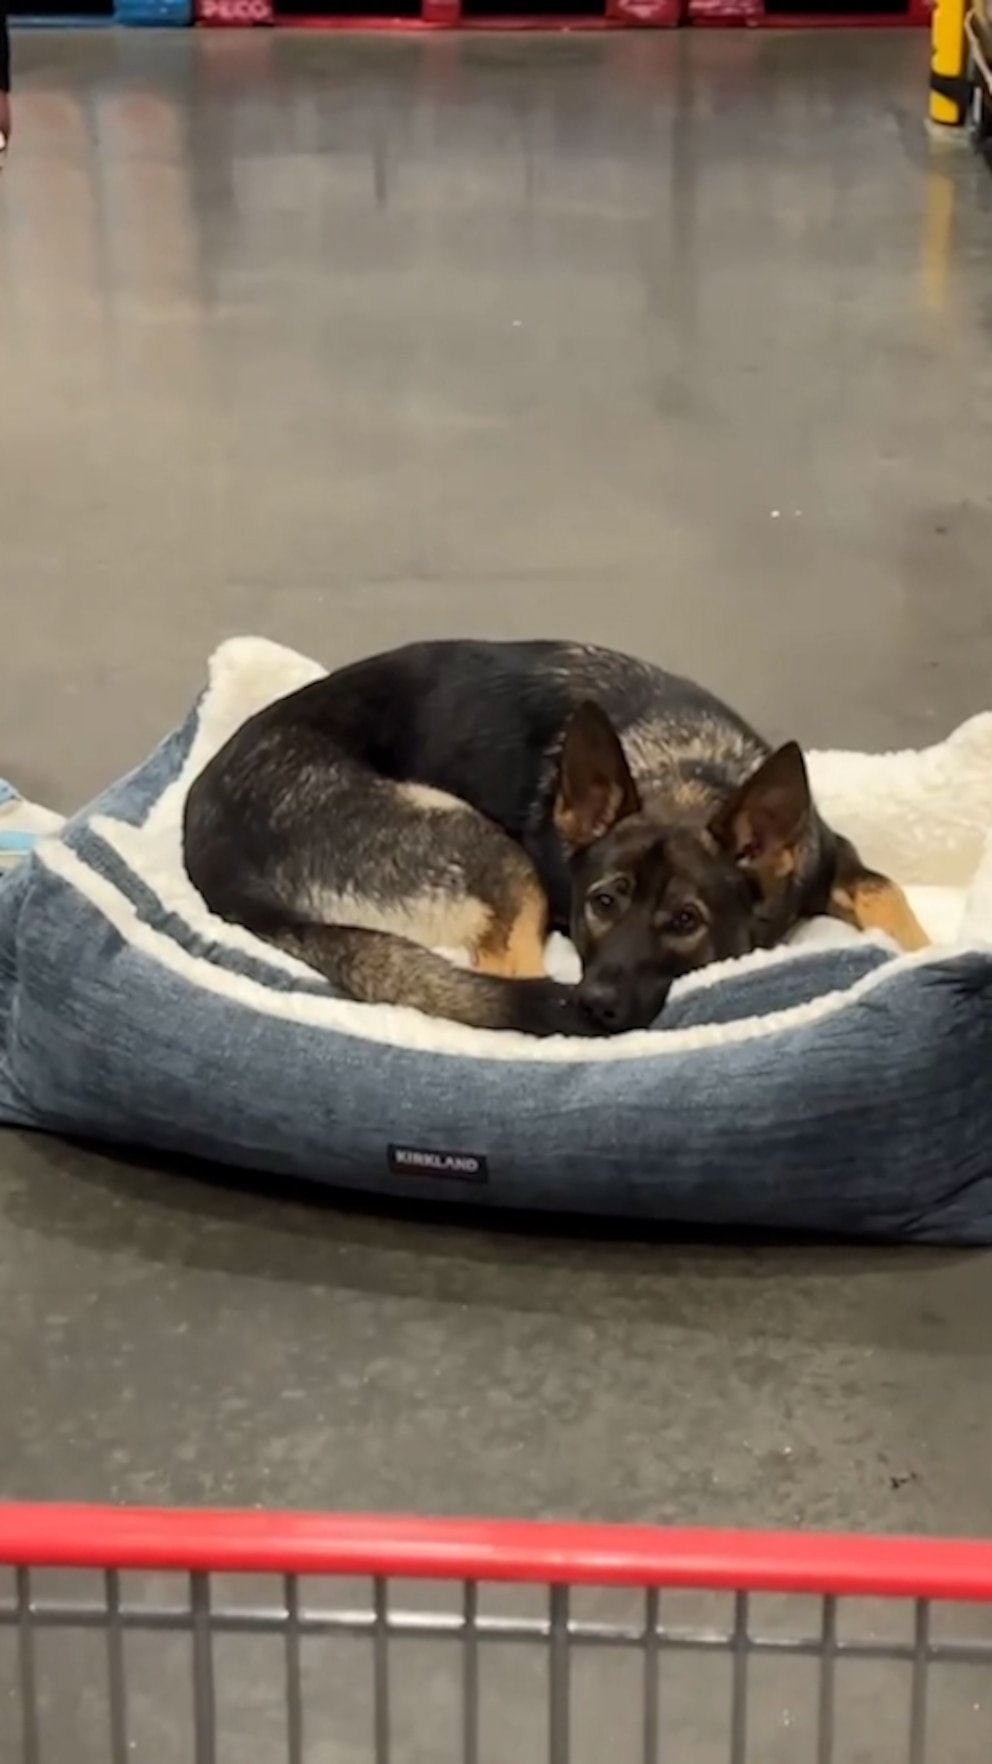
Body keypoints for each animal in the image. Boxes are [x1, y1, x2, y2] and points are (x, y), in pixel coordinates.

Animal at [179, 645, 924, 1030]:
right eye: (602, 902)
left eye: (685, 920)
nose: (593, 1005)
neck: (685, 775)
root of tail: (212, 861)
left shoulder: (836, 859)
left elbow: (888, 894)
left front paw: (925, 953)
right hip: (494, 854)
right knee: (505, 972)